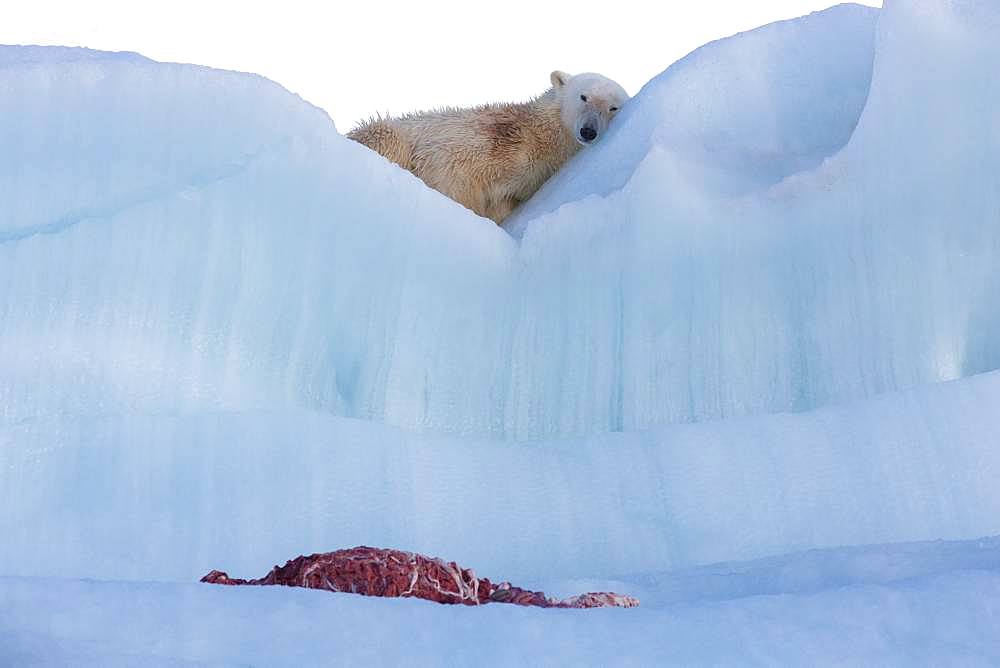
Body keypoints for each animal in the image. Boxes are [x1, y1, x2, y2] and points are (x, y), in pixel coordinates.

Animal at [344, 71, 624, 224]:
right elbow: (451, 175)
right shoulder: (472, 147)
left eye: (613, 107)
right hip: (384, 132)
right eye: (583, 96)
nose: (588, 131)